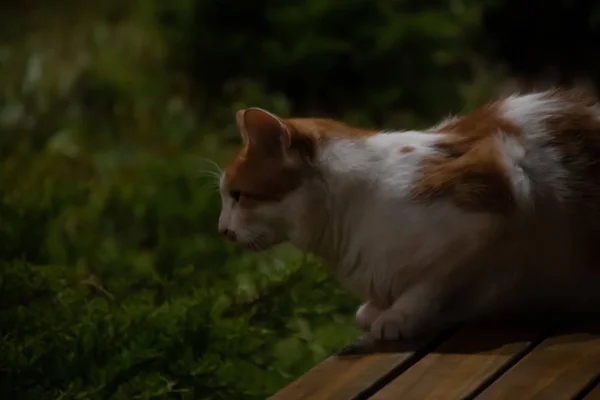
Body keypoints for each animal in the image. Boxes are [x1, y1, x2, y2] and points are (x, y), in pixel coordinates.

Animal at [218, 90, 600, 340]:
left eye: (238, 196)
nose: (222, 230)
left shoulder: (503, 196)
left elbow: (429, 284)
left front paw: (397, 317)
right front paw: (376, 308)